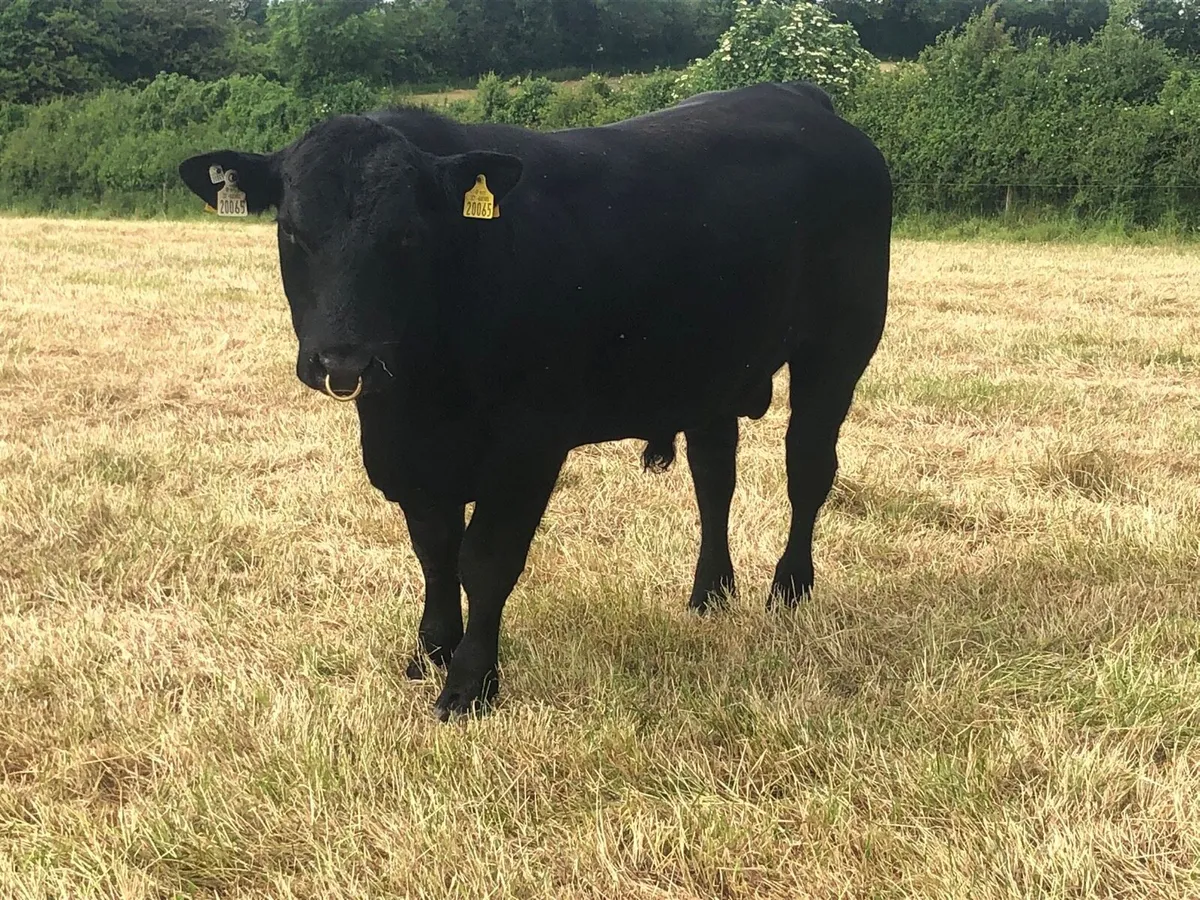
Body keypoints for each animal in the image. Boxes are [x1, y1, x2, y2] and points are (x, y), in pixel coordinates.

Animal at [178, 80, 891, 720]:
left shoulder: (527, 448)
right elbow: (434, 551)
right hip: (709, 370)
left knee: (808, 469)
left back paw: (789, 589)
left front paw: (469, 685)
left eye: (408, 235)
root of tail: (801, 99)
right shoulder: (411, 459)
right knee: (715, 477)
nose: (343, 359)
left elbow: (485, 561)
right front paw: (430, 652)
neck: (421, 397)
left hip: (840, 347)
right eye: (292, 232)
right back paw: (710, 594)